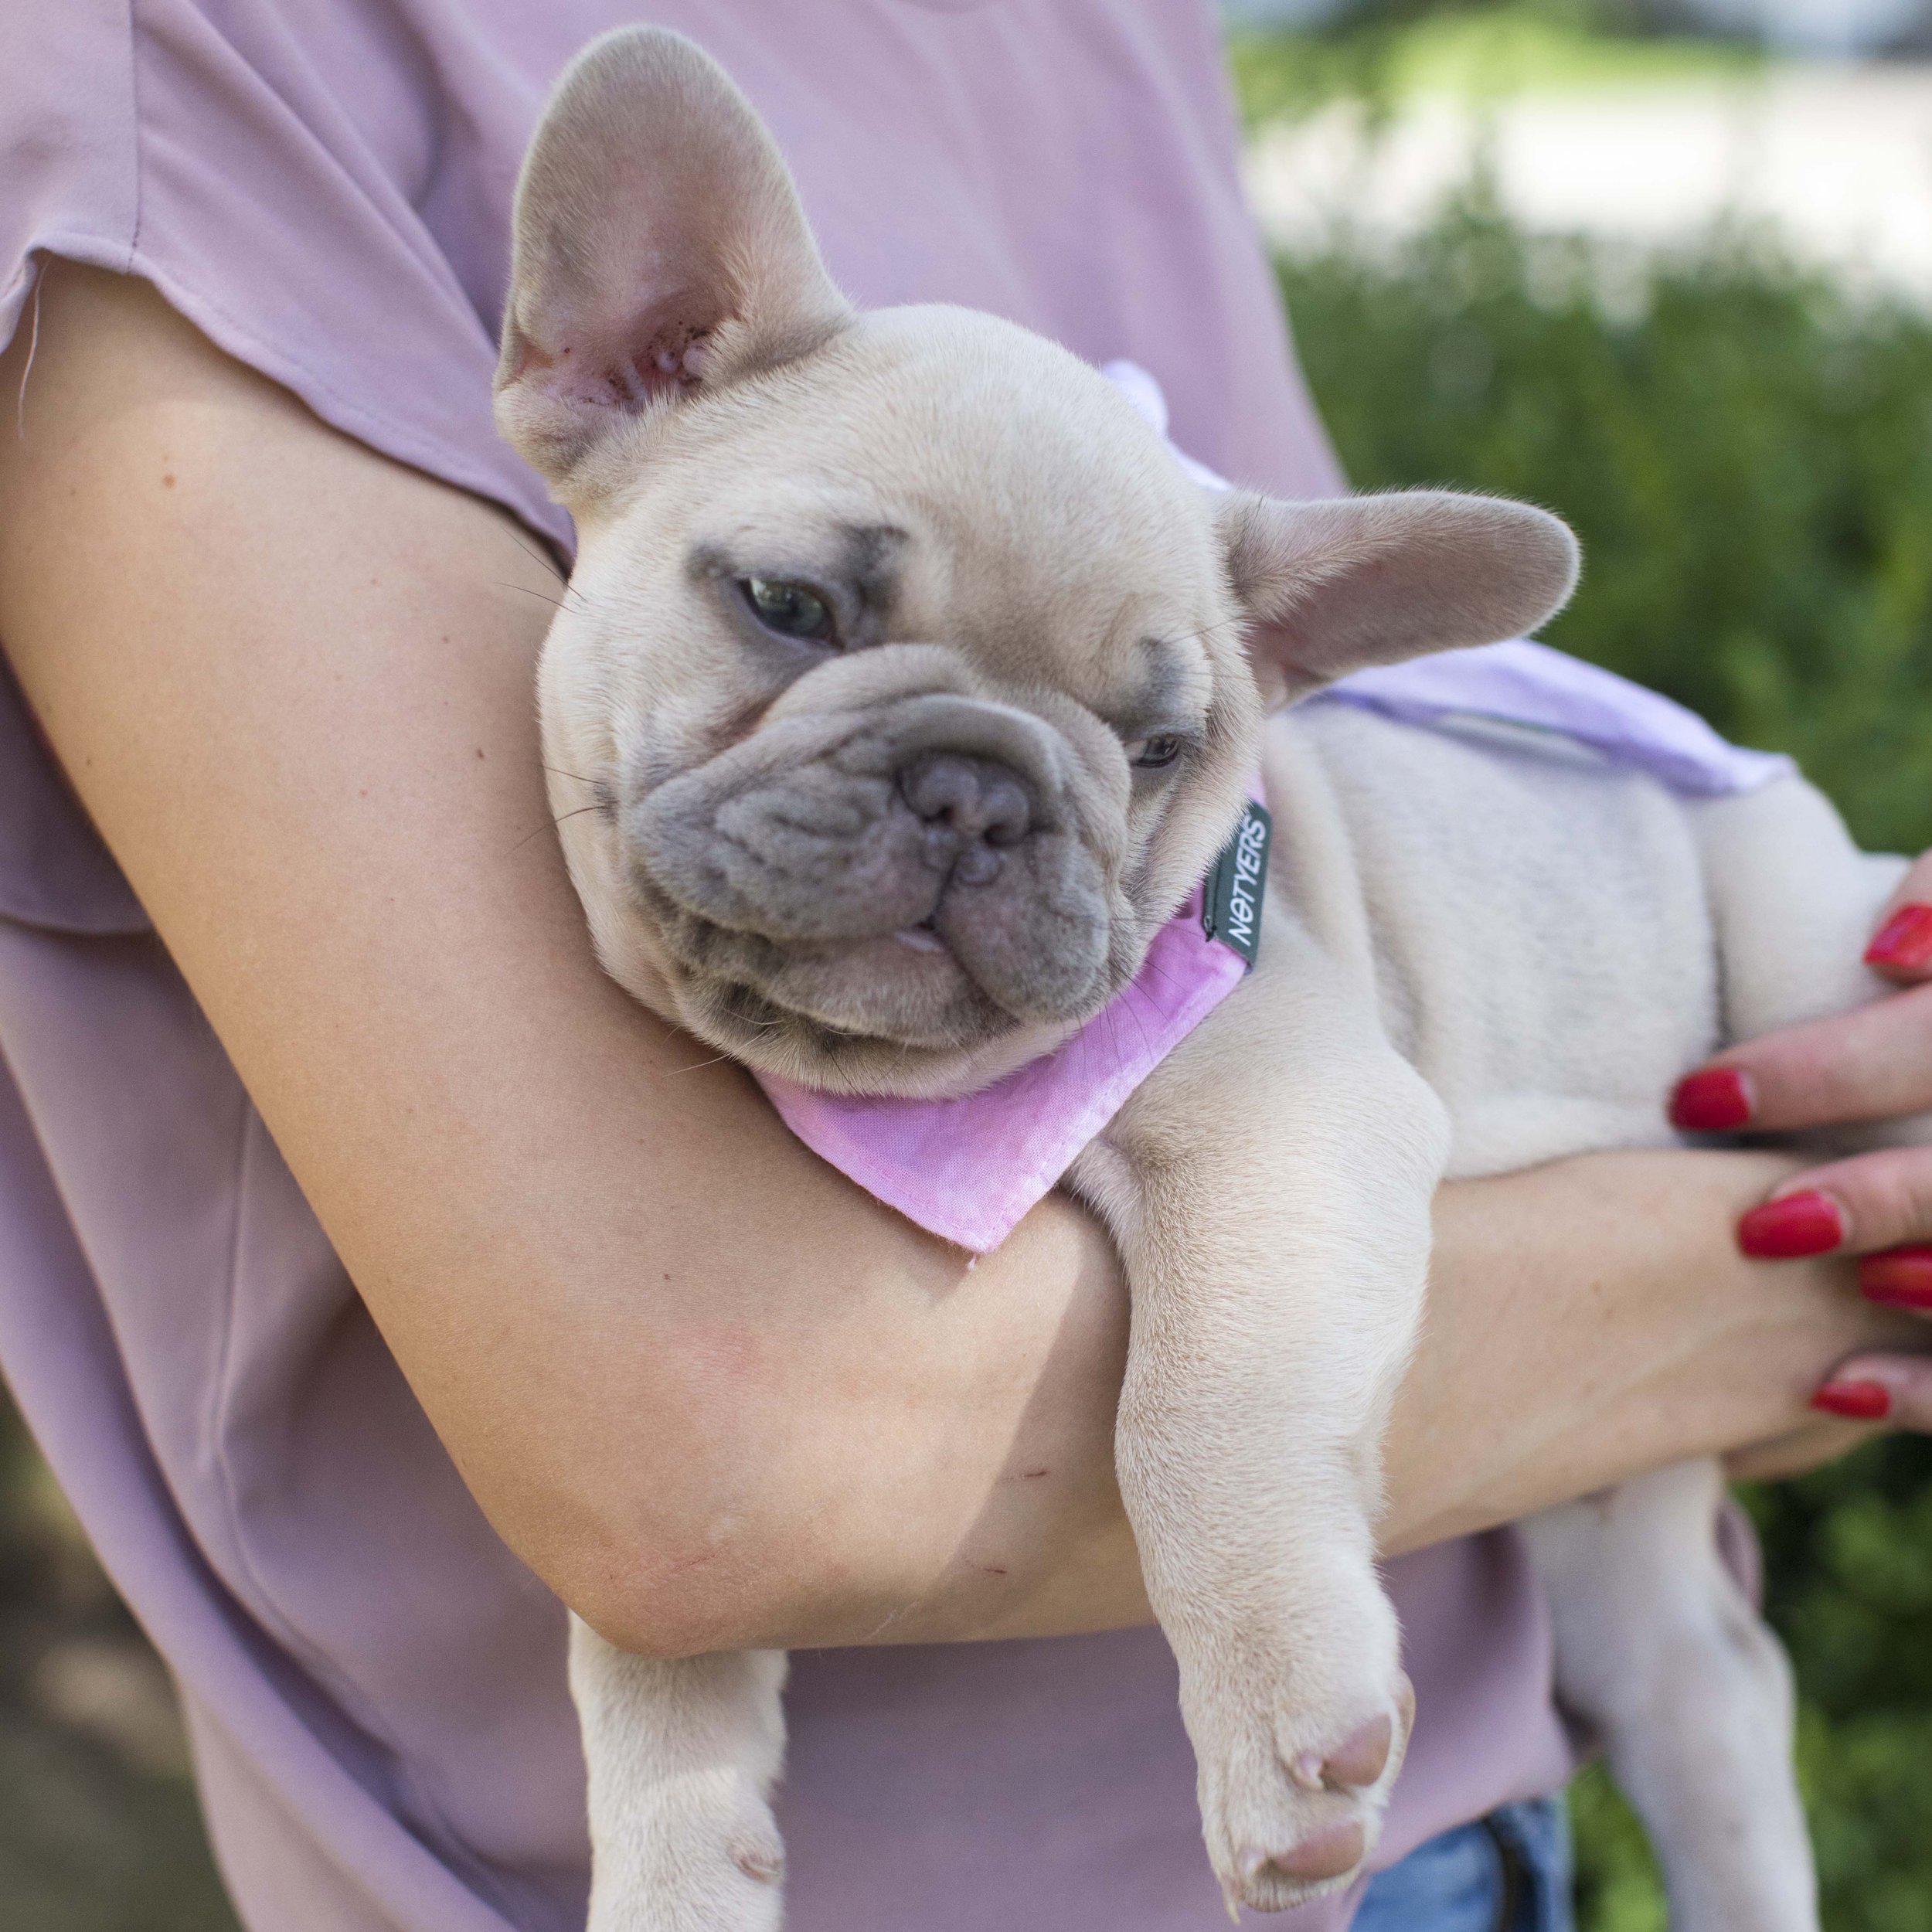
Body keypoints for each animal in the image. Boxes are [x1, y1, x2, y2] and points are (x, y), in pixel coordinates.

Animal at [495, 30, 1870, 1932]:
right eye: (785, 603)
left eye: (1158, 748)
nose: (983, 785)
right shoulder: (677, 1477)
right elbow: (644, 1623)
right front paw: (675, 1856)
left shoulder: (1288, 1119)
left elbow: (1201, 1408)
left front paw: (1287, 1728)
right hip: (1618, 1536)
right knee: (1706, 1683)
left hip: (1801, 936)